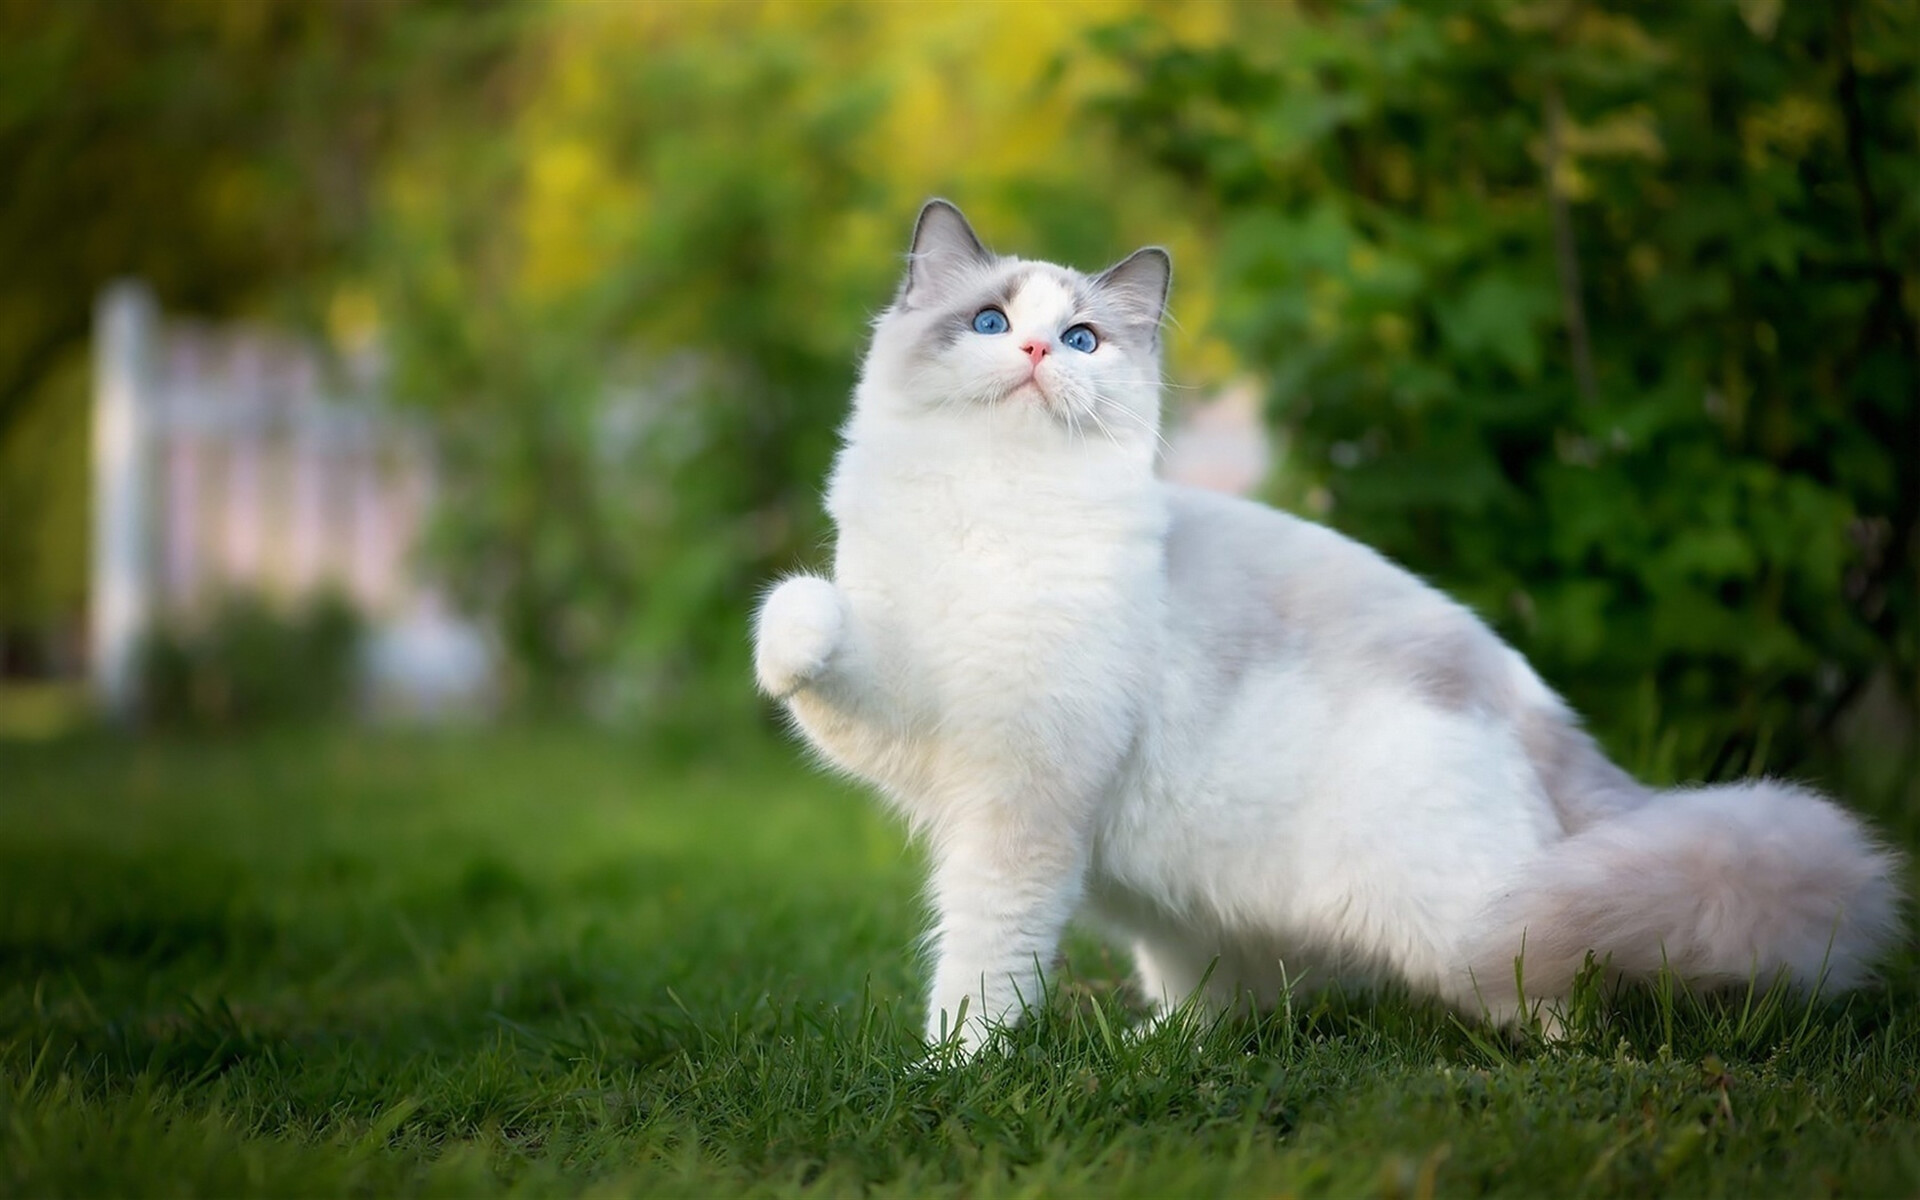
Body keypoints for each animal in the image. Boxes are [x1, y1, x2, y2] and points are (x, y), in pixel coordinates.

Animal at [752, 196, 1904, 1044]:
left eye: (1080, 339)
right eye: (992, 324)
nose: (1036, 353)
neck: (994, 513)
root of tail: (1538, 711)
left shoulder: (1020, 805)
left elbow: (983, 964)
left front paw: (955, 1072)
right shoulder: (907, 720)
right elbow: (807, 616)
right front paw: (786, 650)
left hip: (1465, 921)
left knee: (1555, 989)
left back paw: (1554, 1067)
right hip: (1171, 900)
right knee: (1231, 1000)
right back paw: (1151, 1055)